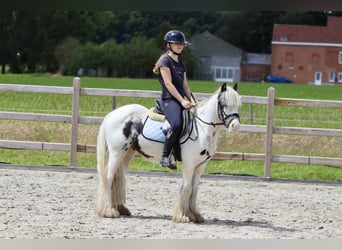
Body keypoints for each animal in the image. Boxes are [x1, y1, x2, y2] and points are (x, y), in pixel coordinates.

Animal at [95, 83, 242, 224]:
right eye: (223, 104)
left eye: (237, 105)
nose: (235, 126)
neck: (202, 129)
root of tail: (112, 114)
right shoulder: (189, 164)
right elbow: (187, 187)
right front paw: (182, 216)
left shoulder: (200, 165)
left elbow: (194, 188)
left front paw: (194, 215)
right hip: (116, 153)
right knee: (108, 177)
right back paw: (108, 211)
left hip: (127, 153)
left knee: (117, 177)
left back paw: (120, 208)